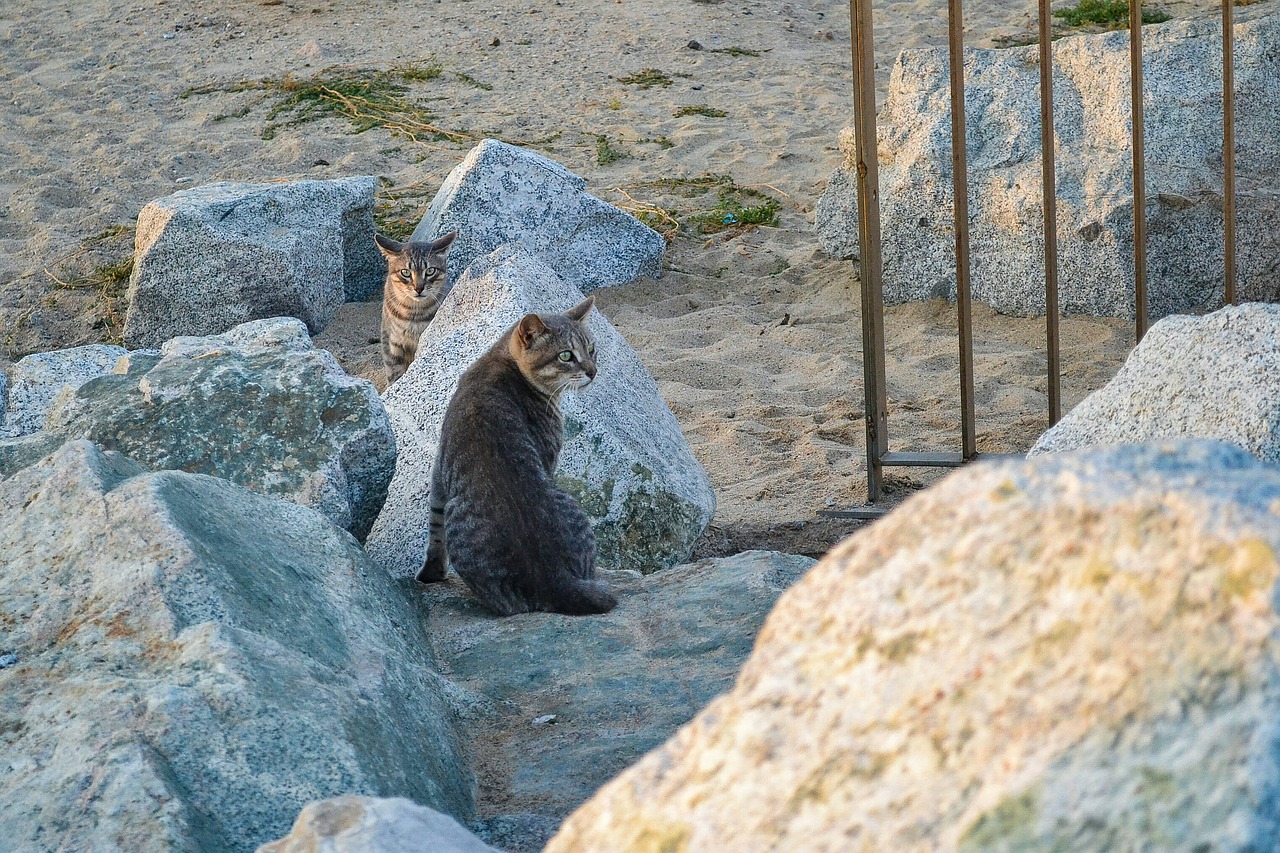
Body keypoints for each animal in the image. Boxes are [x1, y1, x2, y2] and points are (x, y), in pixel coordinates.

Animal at [373, 229, 458, 381]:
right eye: (405, 272)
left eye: (430, 271)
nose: (418, 288)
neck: (413, 312)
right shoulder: (392, 344)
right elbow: (394, 374)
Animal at [417, 295, 616, 614]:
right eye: (565, 356)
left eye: (591, 349)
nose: (592, 371)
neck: (500, 363)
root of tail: (556, 580)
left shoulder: (439, 471)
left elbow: (434, 529)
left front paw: (430, 573)